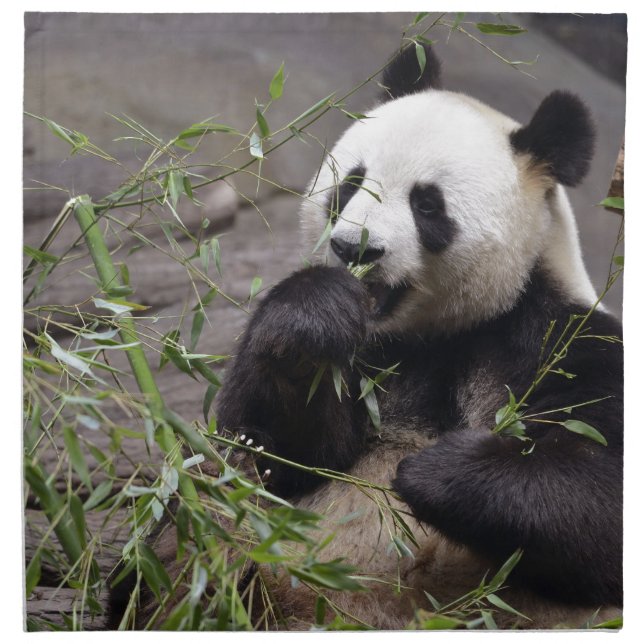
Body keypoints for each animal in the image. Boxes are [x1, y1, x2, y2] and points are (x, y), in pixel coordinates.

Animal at [110, 43, 623, 630]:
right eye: (351, 183)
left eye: (427, 205)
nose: (354, 249)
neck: (432, 333)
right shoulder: (369, 355)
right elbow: (283, 452)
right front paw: (313, 315)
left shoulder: (555, 340)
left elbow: (599, 490)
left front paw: (433, 470)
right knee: (204, 514)